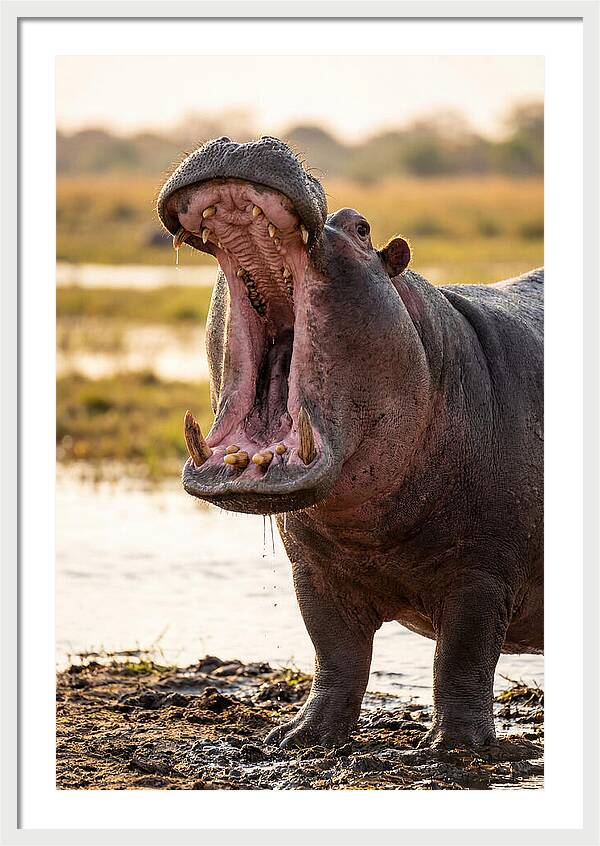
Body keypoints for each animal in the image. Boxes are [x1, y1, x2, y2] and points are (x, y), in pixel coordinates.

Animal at [157, 136, 543, 750]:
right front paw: (298, 737)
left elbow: (463, 658)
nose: (244, 140)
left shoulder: (483, 573)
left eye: (361, 228)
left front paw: (455, 749)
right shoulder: (313, 572)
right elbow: (336, 652)